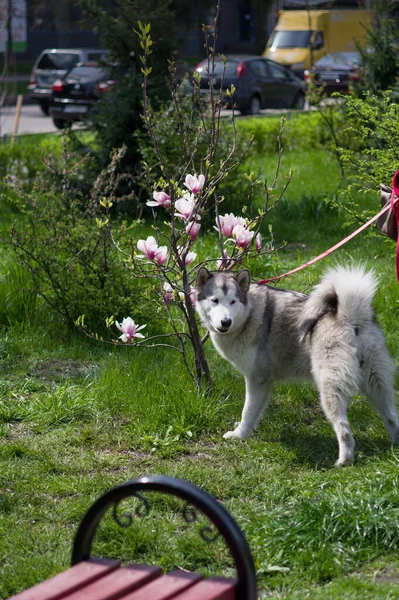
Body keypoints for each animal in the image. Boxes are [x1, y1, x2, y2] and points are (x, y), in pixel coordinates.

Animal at [196, 264, 399, 466]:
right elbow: (254, 413)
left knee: (344, 429)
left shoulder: (257, 380)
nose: (226, 322)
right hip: (376, 384)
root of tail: (349, 317)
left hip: (329, 390)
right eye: (215, 300)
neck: (249, 315)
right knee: (391, 416)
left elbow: (248, 411)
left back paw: (344, 461)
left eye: (233, 301)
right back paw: (394, 447)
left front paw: (239, 435)